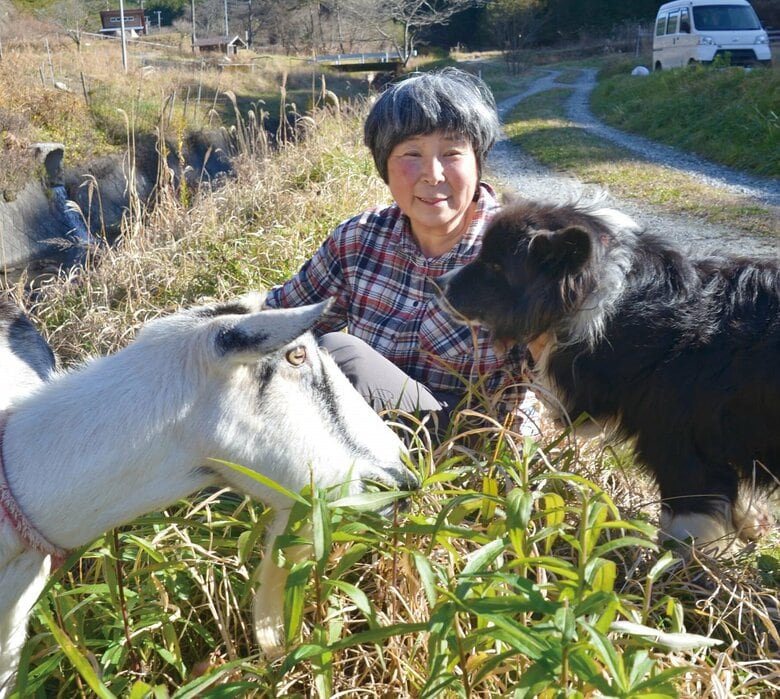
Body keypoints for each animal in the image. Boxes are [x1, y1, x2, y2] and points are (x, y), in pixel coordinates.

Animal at [442, 198, 776, 552]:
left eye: (495, 266)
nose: (440, 284)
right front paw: (750, 522)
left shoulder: (680, 444)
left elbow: (684, 521)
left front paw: (676, 564)